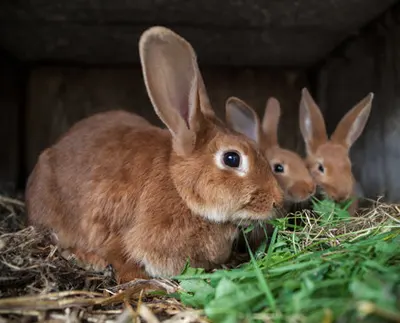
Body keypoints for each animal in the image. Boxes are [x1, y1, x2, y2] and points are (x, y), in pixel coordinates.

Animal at [25, 27, 282, 284]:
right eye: (232, 159)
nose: (277, 201)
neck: (179, 187)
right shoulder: (114, 230)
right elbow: (120, 257)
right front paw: (144, 283)